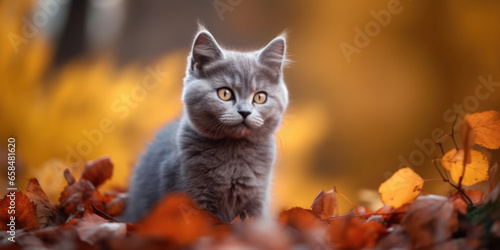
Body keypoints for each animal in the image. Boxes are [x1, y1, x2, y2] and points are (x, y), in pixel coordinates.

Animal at [124, 27, 290, 223]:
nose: (244, 112)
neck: (233, 153)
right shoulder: (191, 196)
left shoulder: (256, 200)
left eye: (260, 97)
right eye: (225, 93)